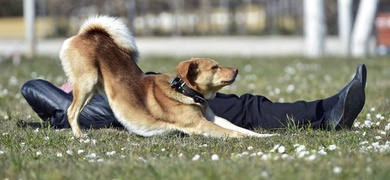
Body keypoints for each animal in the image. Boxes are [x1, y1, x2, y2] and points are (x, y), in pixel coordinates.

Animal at [59, 16, 276, 139]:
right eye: (215, 67)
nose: (237, 70)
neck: (186, 93)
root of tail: (87, 34)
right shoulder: (199, 124)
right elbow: (233, 132)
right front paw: (245, 138)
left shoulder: (213, 118)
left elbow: (240, 129)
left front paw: (263, 136)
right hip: (86, 83)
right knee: (71, 111)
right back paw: (79, 136)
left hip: (94, 89)